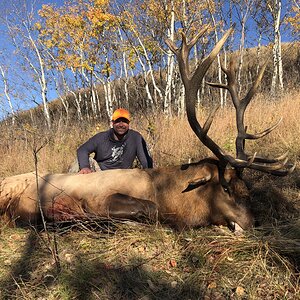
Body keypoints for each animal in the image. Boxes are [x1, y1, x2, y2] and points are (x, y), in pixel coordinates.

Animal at [0, 26, 296, 232]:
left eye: (247, 187)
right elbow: (149, 209)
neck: (171, 196)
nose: (253, 223)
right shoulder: (101, 199)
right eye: (225, 188)